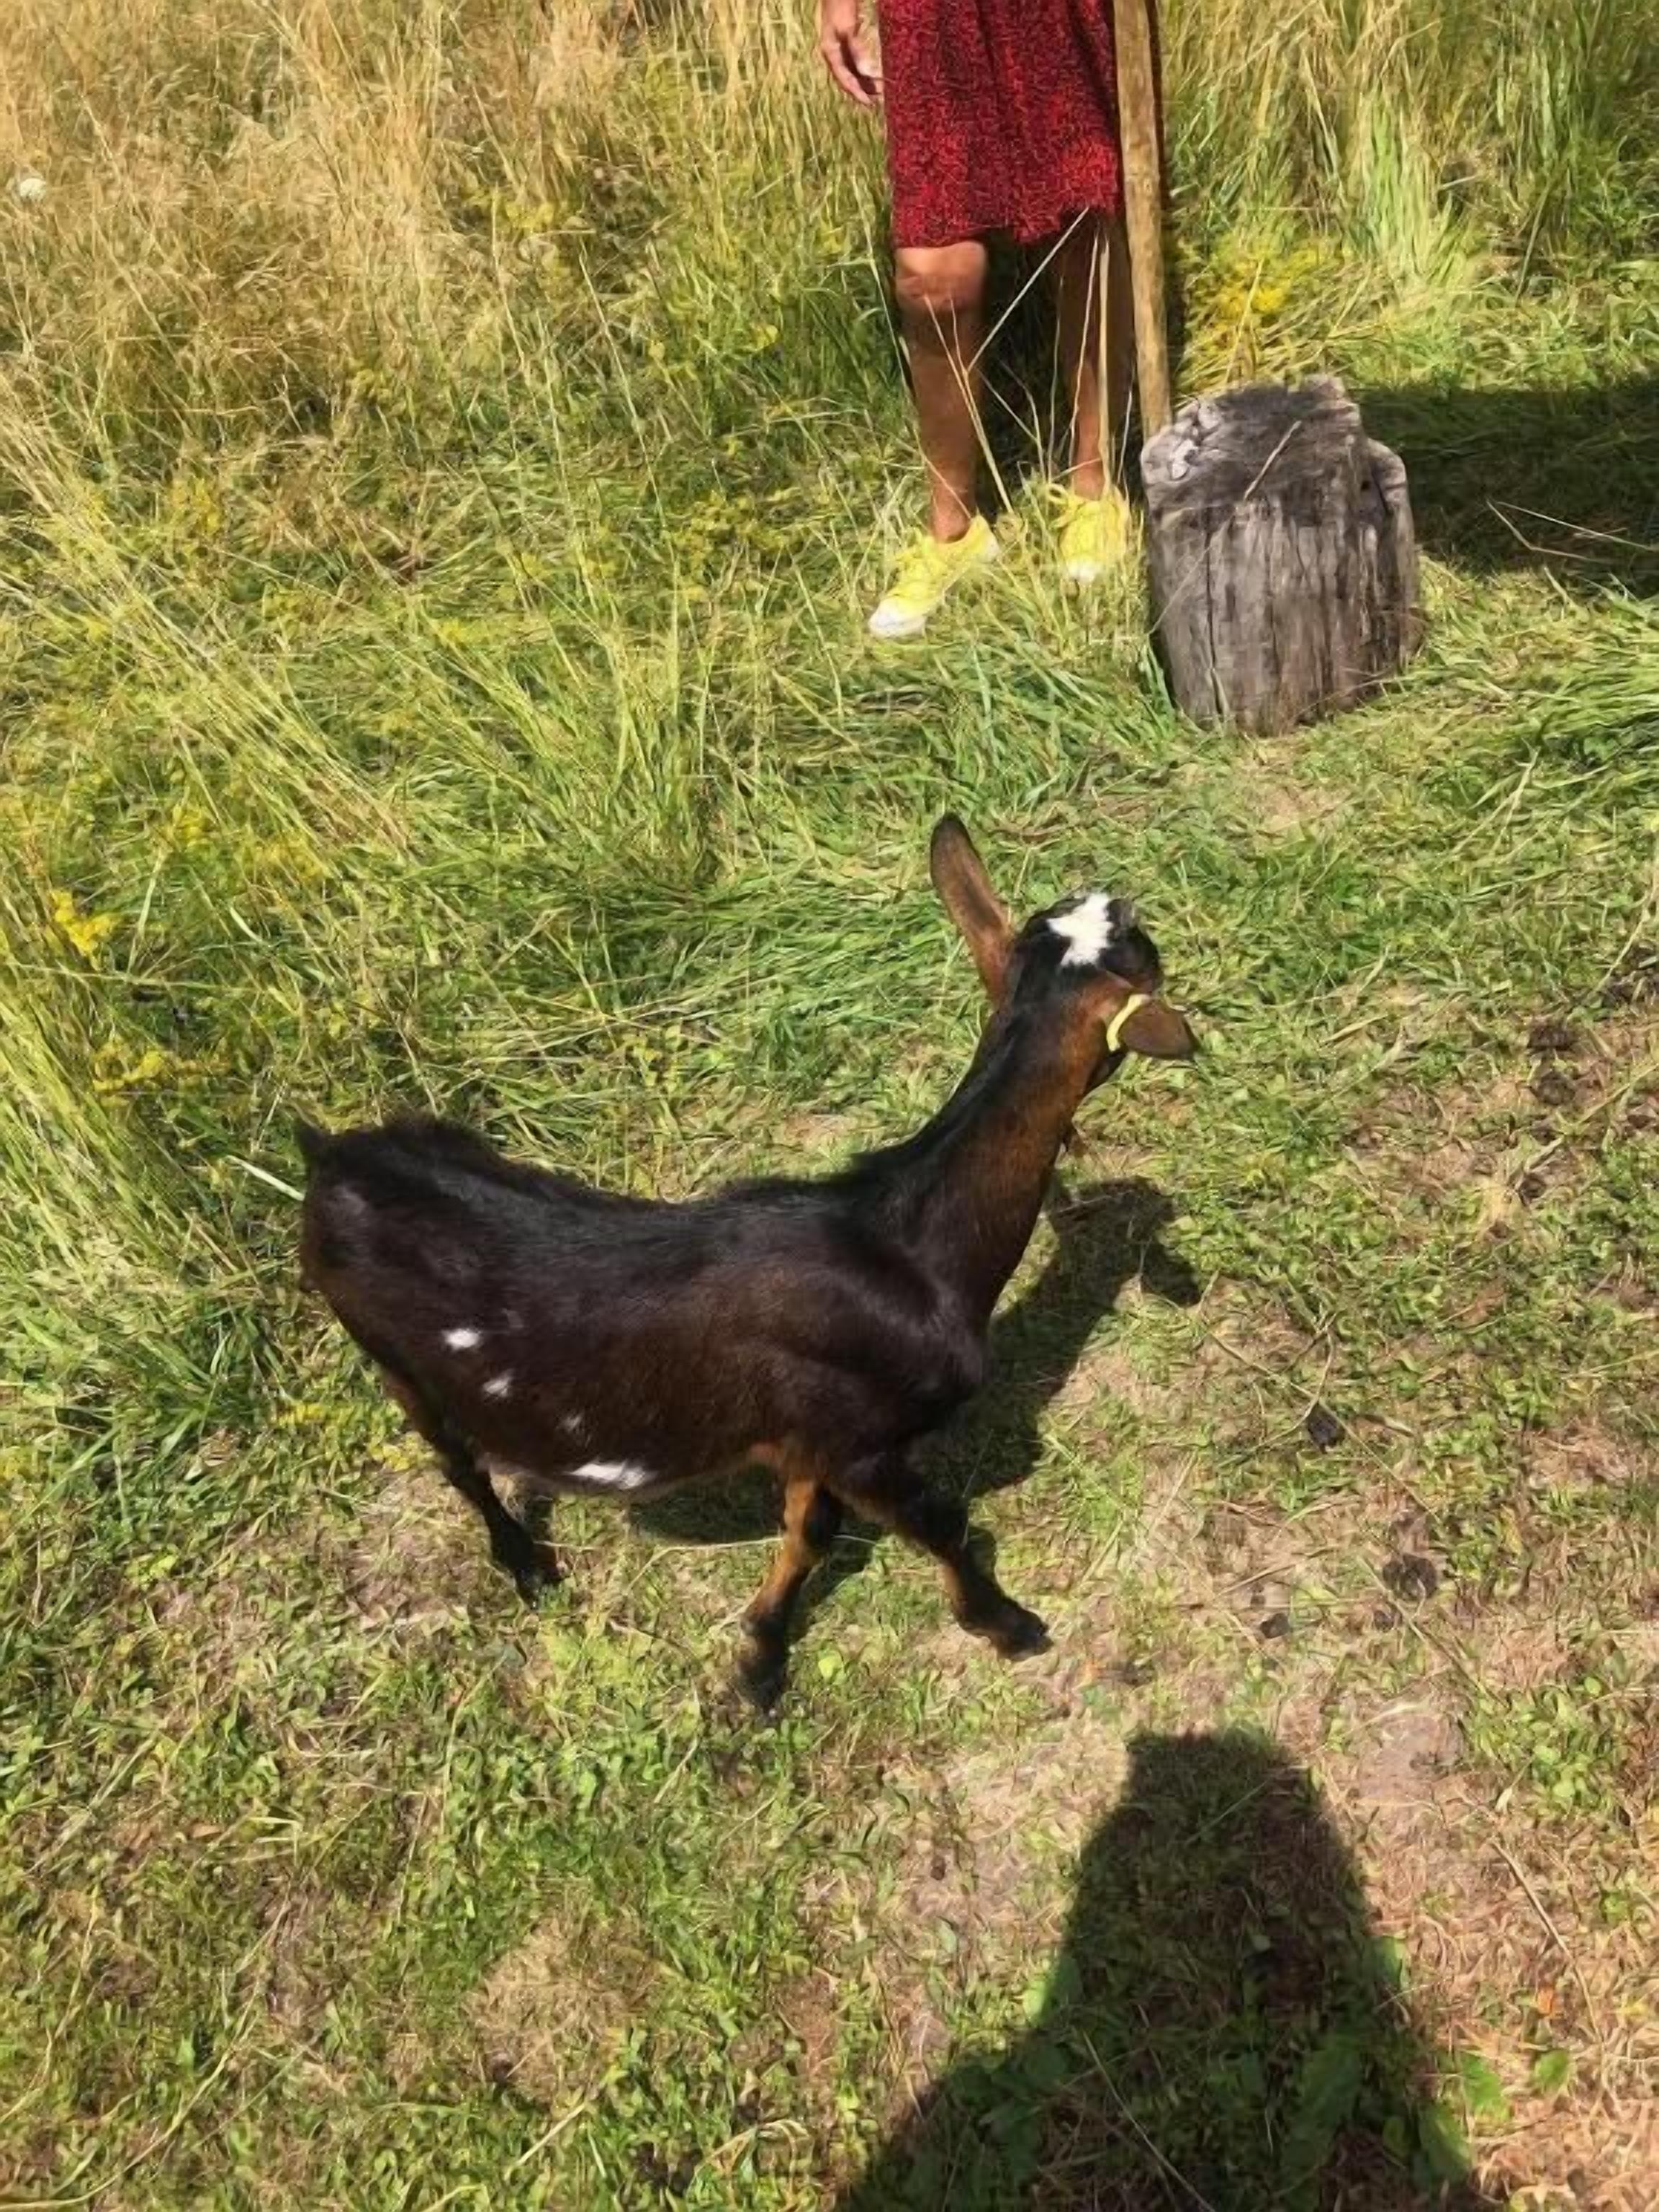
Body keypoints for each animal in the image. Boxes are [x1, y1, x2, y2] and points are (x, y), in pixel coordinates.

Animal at [298, 818, 1198, 1705]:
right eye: (1144, 944)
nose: (1123, 891)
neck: (910, 1251)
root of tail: (330, 1157)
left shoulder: (808, 1441)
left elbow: (811, 1532)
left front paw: (760, 1657)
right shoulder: (862, 1442)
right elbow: (942, 1524)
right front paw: (1008, 1626)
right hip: (391, 1357)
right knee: (457, 1462)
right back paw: (524, 1566)